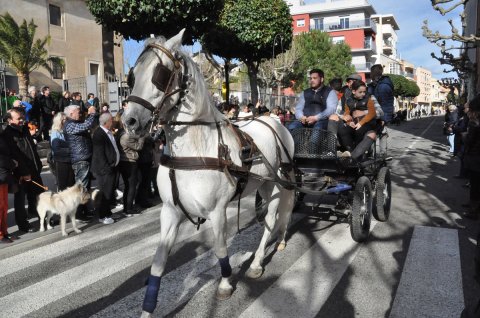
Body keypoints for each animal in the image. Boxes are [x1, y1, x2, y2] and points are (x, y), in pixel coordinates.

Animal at [123, 29, 296, 316]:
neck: (194, 150)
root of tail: (273, 120)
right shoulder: (170, 212)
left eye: (160, 73)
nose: (130, 121)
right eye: (133, 75)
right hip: (263, 186)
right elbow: (158, 262)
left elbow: (220, 248)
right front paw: (148, 308)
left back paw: (258, 262)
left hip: (275, 185)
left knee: (272, 220)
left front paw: (225, 283)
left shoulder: (217, 211)